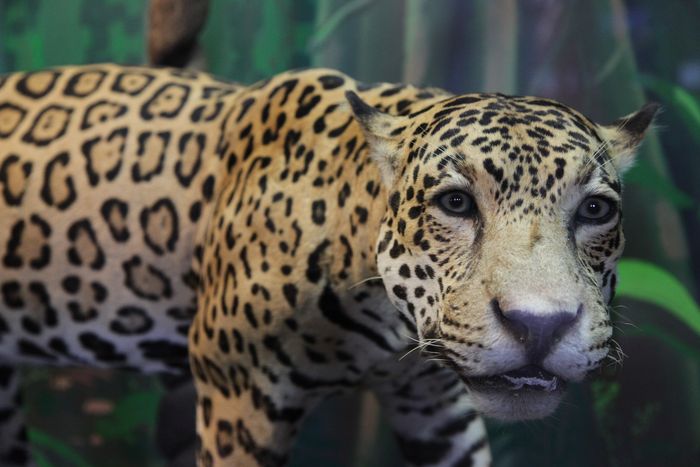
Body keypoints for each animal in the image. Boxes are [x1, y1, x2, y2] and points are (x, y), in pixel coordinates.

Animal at [0, 63, 657, 466]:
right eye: (455, 203)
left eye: (595, 209)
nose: (540, 326)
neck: (389, 326)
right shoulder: (238, 401)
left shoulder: (437, 409)